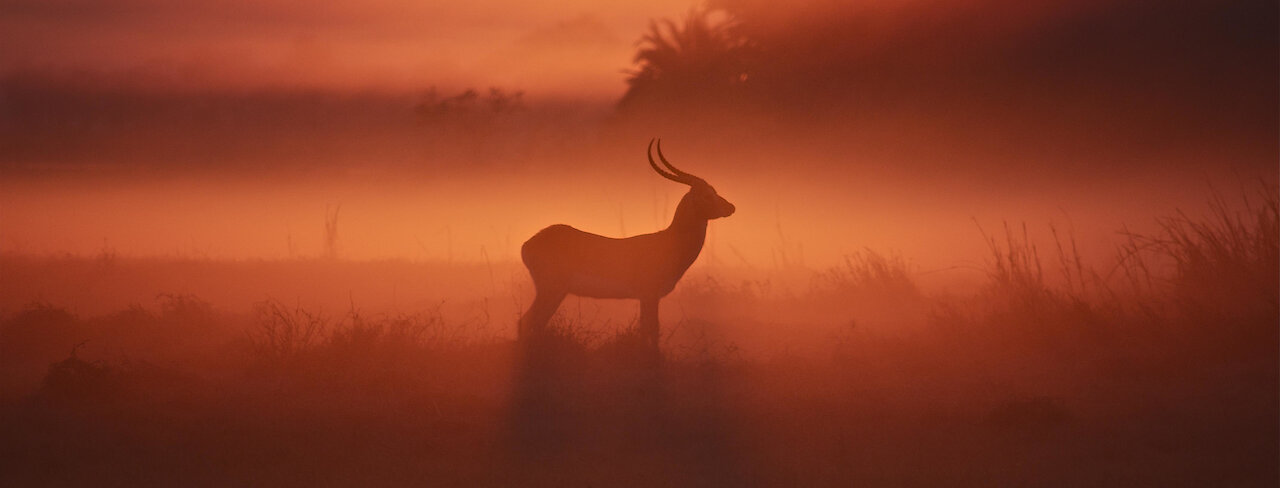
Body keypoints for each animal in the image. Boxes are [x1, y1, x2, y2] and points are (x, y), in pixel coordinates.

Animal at [519, 138, 742, 350]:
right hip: (551, 290)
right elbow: (651, 330)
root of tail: (527, 244)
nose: (731, 207)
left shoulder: (647, 297)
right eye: (707, 194)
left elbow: (647, 330)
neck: (669, 242)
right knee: (527, 321)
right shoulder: (649, 294)